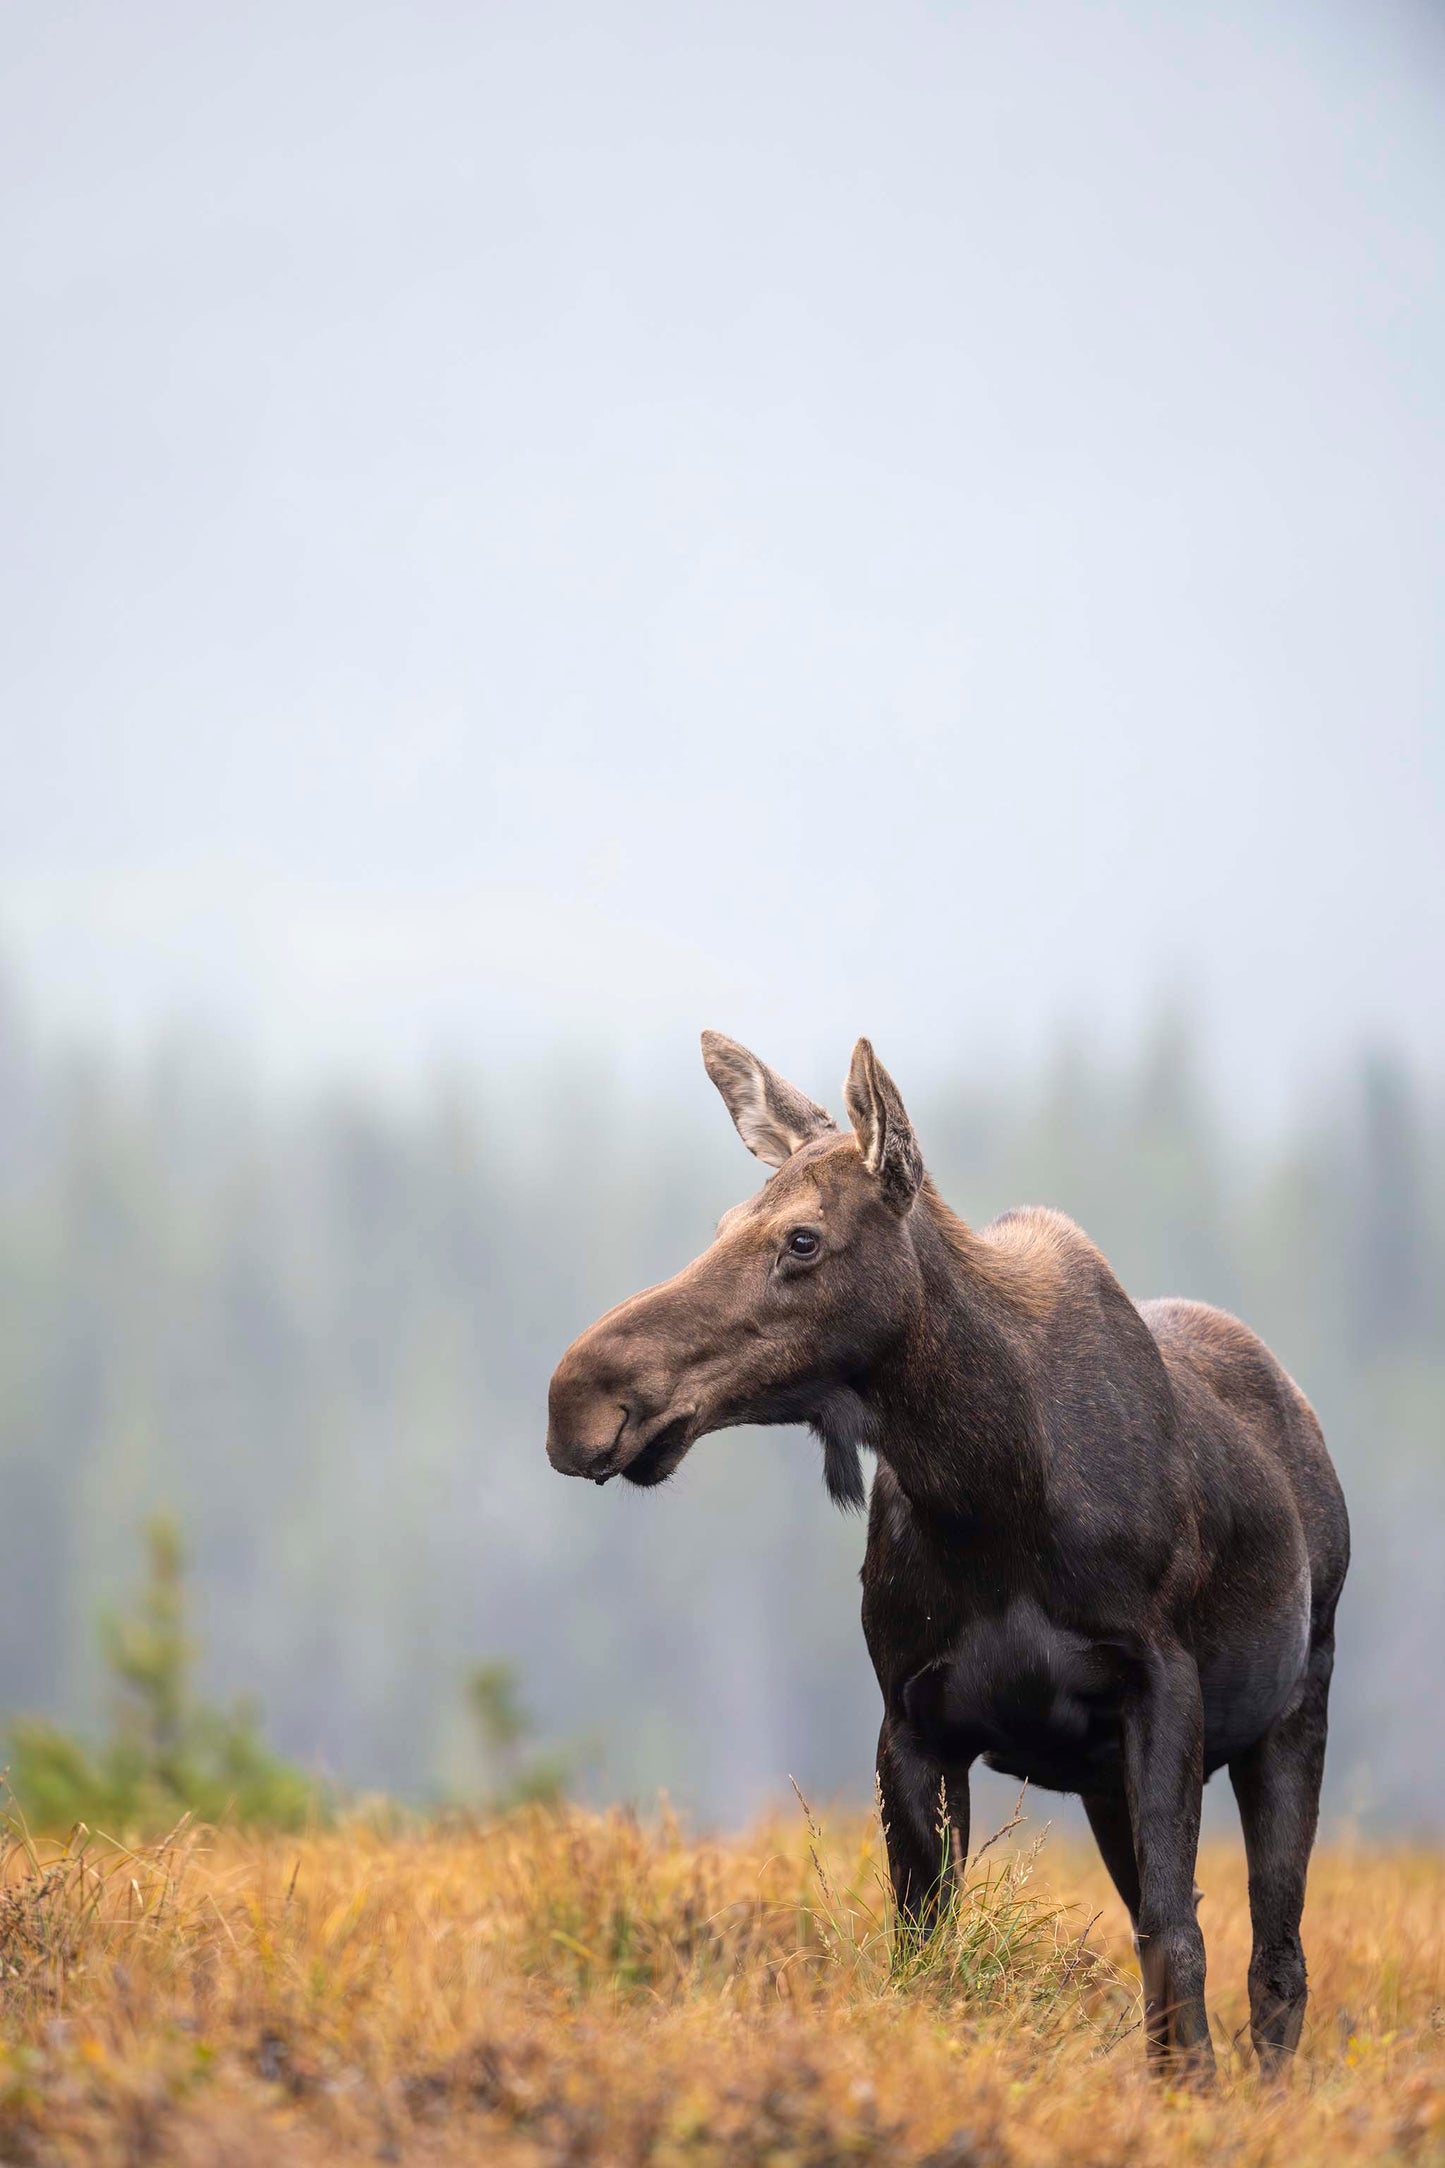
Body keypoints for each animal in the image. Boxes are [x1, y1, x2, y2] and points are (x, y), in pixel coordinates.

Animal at [546, 1033, 1350, 2079]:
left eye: (801, 1239)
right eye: (725, 1220)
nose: (579, 1396)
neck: (990, 1490)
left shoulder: (1162, 1689)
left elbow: (1179, 1939)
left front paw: (1196, 2097)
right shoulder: (911, 1718)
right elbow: (926, 1950)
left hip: (1295, 1704)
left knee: (1275, 1962)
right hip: (1105, 1783)